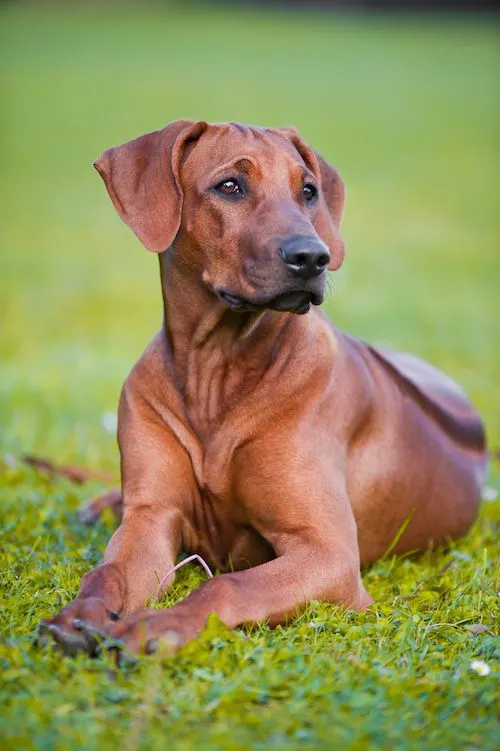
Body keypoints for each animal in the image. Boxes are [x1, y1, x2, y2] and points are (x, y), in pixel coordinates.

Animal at [40, 119, 488, 656]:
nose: (313, 256)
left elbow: (227, 585)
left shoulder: (328, 553)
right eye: (230, 185)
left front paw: (157, 626)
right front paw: (77, 616)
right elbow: (106, 573)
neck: (217, 368)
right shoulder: (150, 518)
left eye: (308, 191)